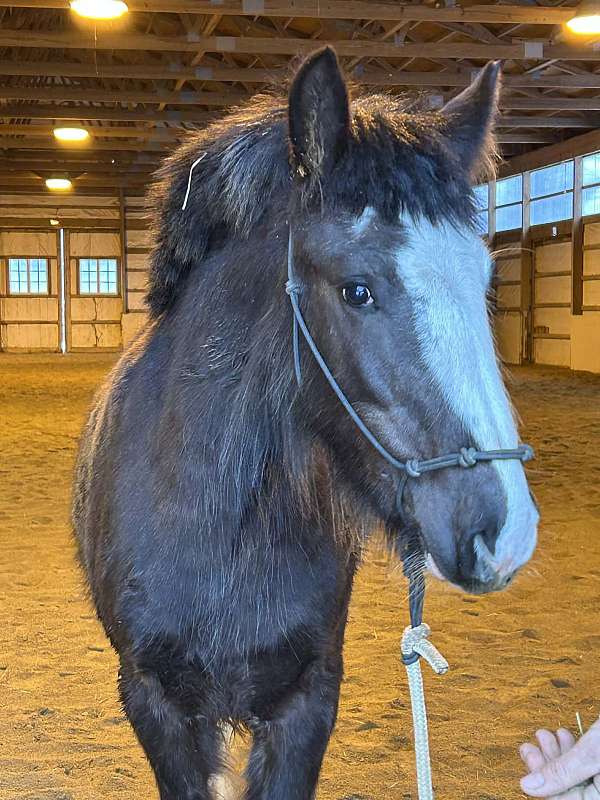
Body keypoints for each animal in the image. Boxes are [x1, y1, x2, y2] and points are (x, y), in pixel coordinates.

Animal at [72, 47, 539, 800]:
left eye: (484, 278)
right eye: (357, 290)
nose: (506, 532)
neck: (219, 530)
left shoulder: (308, 701)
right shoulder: (155, 705)